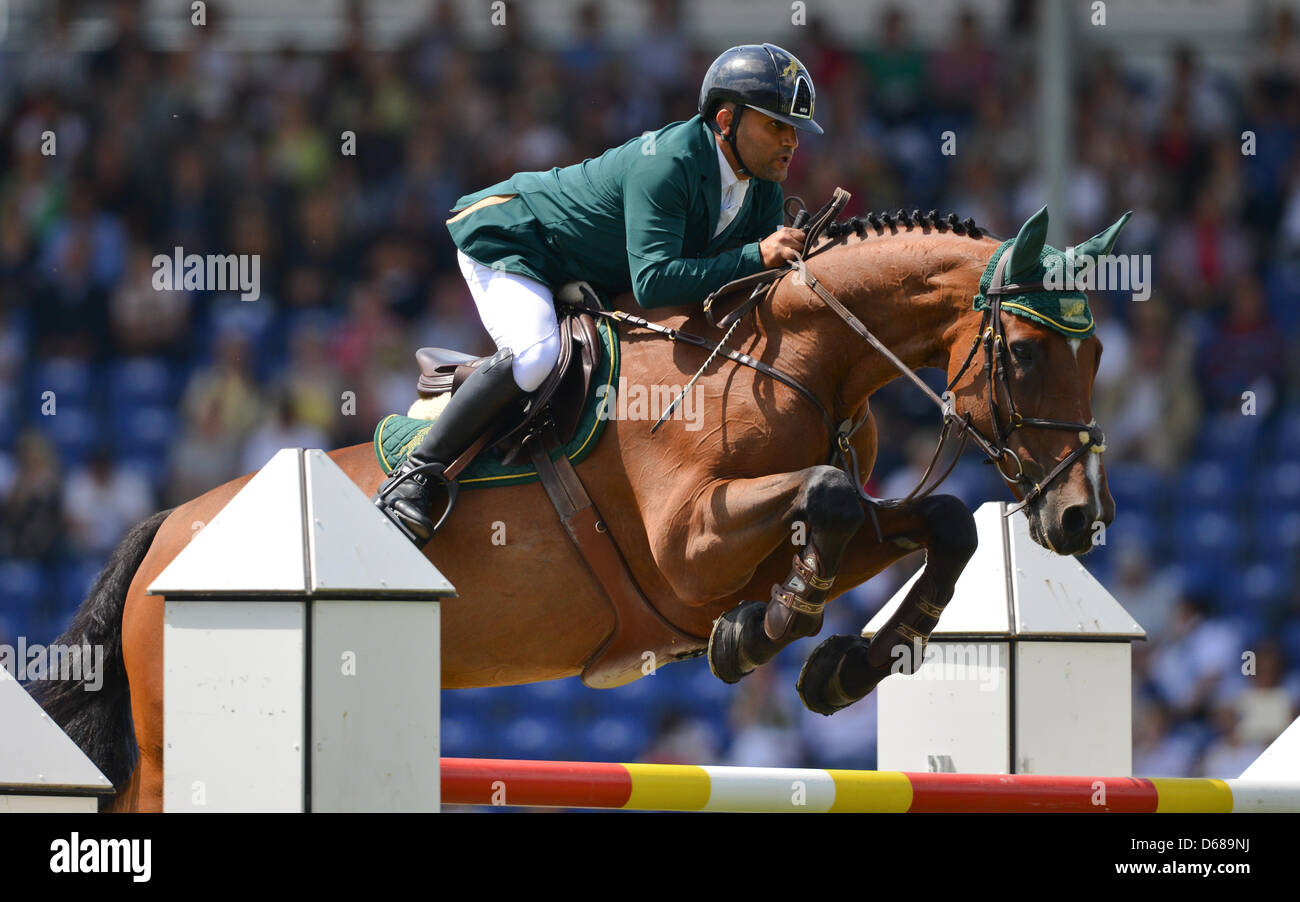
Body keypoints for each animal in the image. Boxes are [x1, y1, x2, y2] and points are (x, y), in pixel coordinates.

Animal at [33, 204, 1123, 812]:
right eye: (1030, 353)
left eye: (1100, 349)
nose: (1079, 518)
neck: (792, 360)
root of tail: (172, 528)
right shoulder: (690, 546)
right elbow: (829, 500)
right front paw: (763, 634)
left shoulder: (763, 543)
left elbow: (928, 522)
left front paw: (844, 664)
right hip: (169, 749)